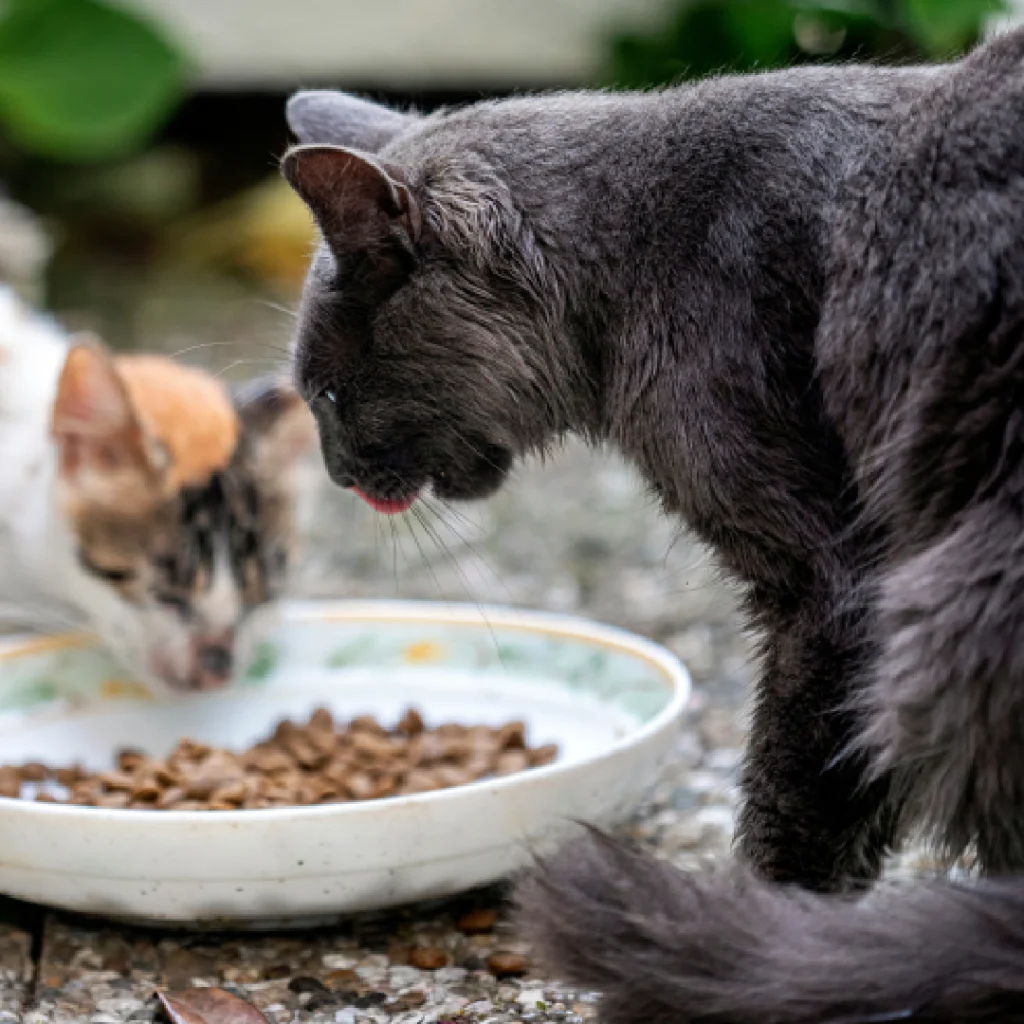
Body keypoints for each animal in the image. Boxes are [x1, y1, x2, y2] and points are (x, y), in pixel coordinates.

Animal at [280, 24, 1024, 1024]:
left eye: (327, 394)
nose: (337, 472)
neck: (634, 254)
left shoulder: (835, 586)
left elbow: (799, 795)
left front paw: (754, 939)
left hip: (949, 610)